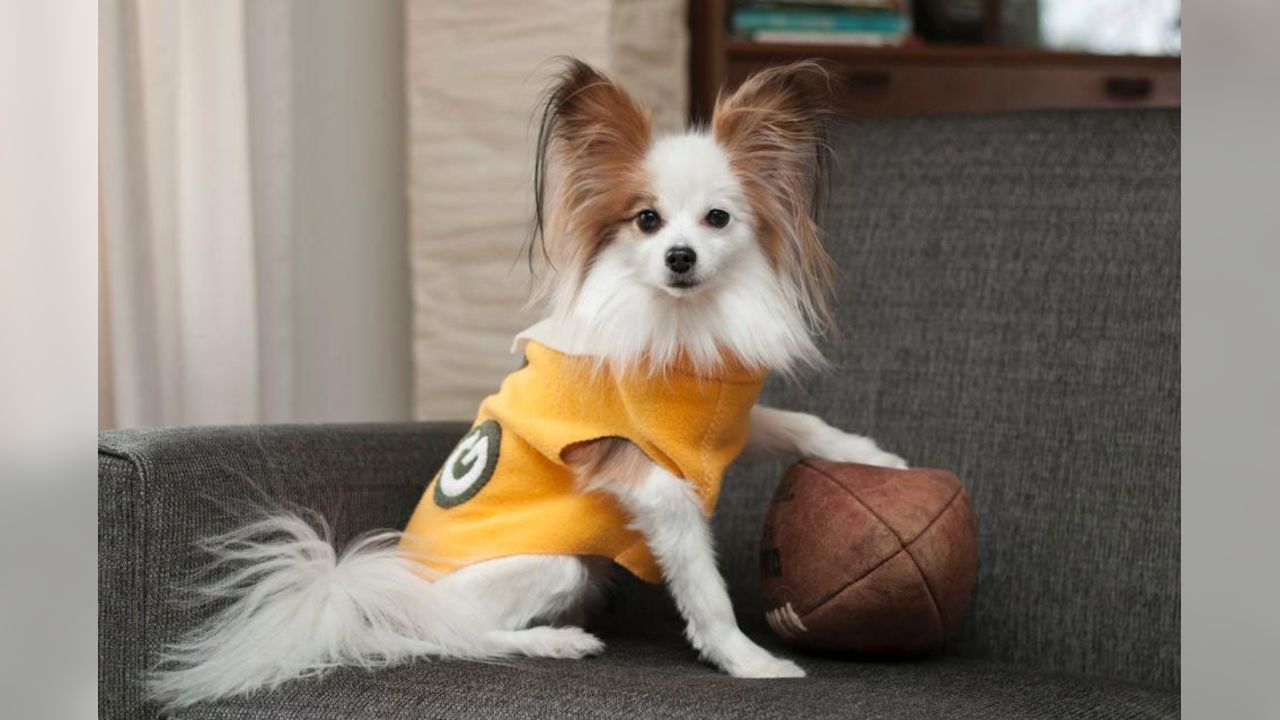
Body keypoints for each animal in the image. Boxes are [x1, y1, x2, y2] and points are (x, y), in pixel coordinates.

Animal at [152, 57, 911, 707]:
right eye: (647, 220)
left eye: (717, 218)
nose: (680, 255)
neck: (679, 324)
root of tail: (380, 596)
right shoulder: (652, 479)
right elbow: (705, 586)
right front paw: (748, 661)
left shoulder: (716, 428)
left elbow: (798, 425)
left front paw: (873, 457)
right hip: (554, 566)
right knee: (455, 636)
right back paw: (554, 641)